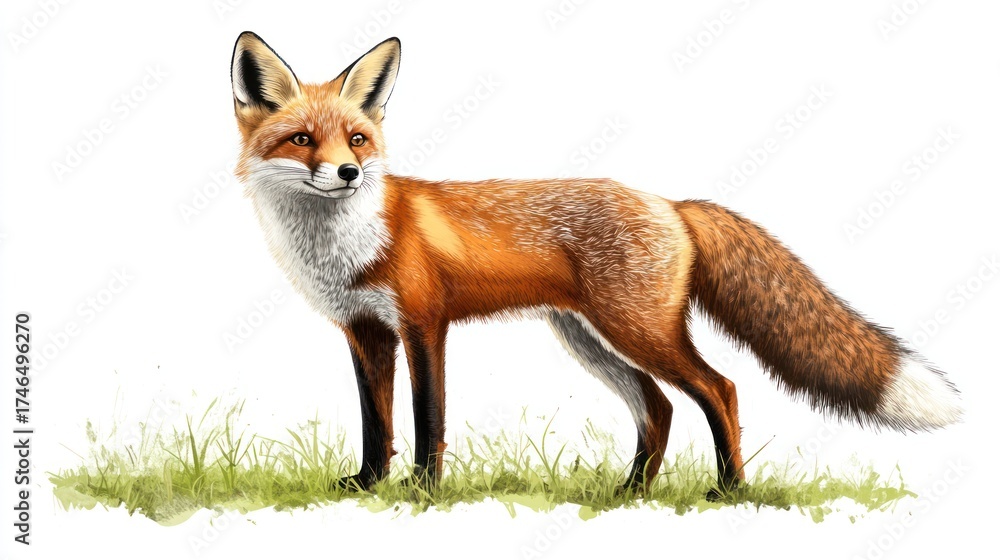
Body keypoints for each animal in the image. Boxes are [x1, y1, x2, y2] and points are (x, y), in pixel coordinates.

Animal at [229, 32, 962, 497]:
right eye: (302, 140)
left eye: (357, 138)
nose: (349, 173)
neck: (346, 244)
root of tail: (671, 203)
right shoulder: (364, 333)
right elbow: (375, 422)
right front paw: (367, 486)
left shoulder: (423, 324)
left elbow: (427, 418)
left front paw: (422, 492)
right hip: (589, 337)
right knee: (659, 408)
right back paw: (628, 493)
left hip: (637, 330)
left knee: (719, 389)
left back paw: (729, 489)